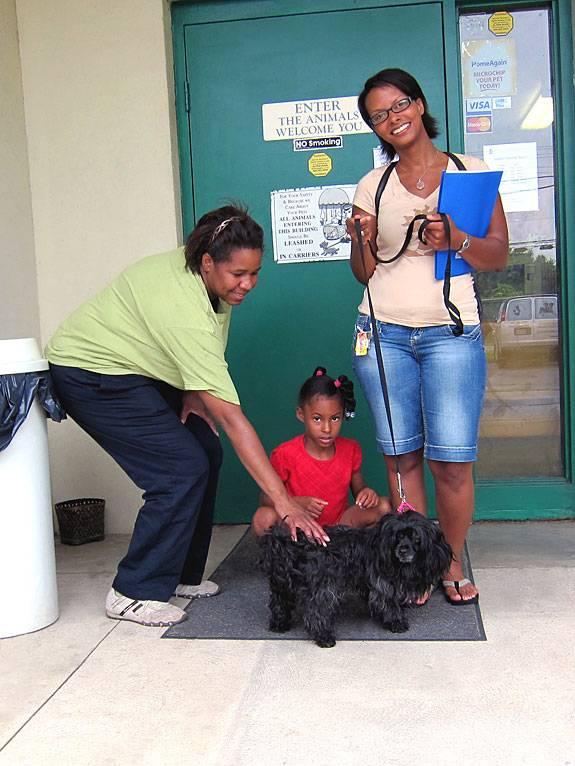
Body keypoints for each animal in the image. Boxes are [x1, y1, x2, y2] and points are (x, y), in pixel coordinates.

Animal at [260, 510, 454, 648]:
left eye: (416, 537)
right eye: (398, 536)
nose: (403, 550)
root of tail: (289, 543)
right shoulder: (383, 584)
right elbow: (389, 604)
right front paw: (397, 622)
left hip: (283, 584)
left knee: (279, 602)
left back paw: (279, 624)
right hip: (323, 587)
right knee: (315, 611)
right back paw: (324, 637)